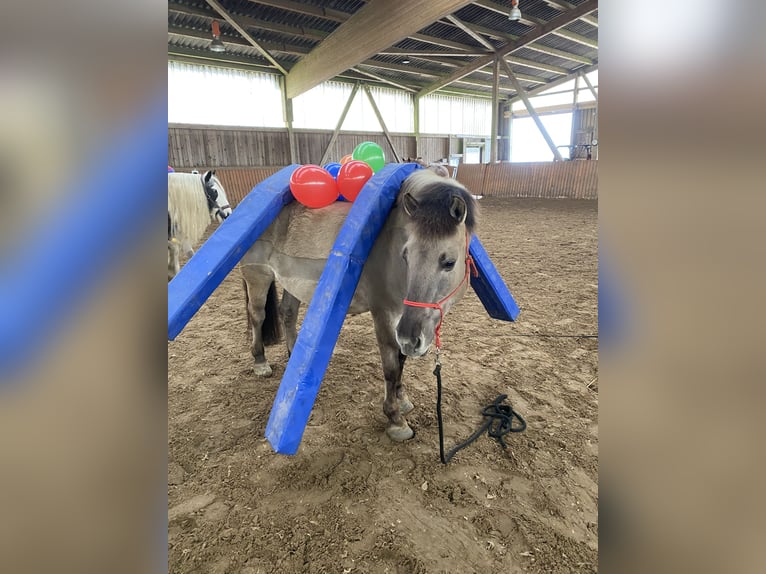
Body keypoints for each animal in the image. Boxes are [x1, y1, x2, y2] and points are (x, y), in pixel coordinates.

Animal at [242, 169, 480, 444]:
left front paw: (403, 399)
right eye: (406, 256)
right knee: (257, 316)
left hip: (292, 283)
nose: (413, 339)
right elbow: (391, 367)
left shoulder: (402, 318)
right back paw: (260, 362)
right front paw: (395, 419)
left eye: (449, 262)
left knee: (288, 314)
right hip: (257, 276)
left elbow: (401, 361)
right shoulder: (384, 314)